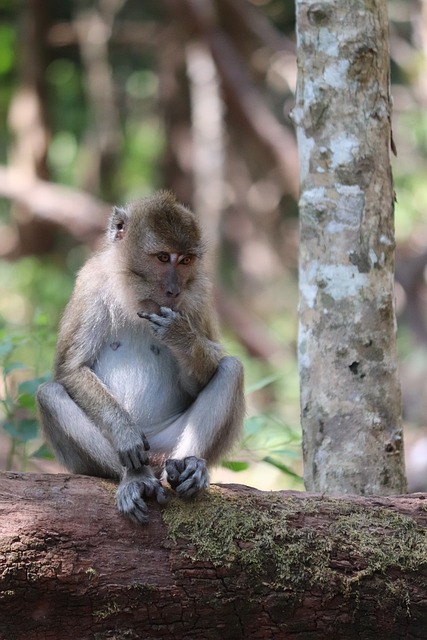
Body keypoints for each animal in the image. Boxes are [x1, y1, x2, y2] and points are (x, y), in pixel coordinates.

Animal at [36, 190, 246, 524]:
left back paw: (188, 467)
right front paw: (124, 433)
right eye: (162, 258)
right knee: (49, 393)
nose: (173, 290)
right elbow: (71, 368)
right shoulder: (90, 282)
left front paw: (180, 335)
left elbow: (208, 370)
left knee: (231, 368)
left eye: (185, 260)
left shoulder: (199, 292)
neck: (137, 294)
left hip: (167, 442)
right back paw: (136, 478)